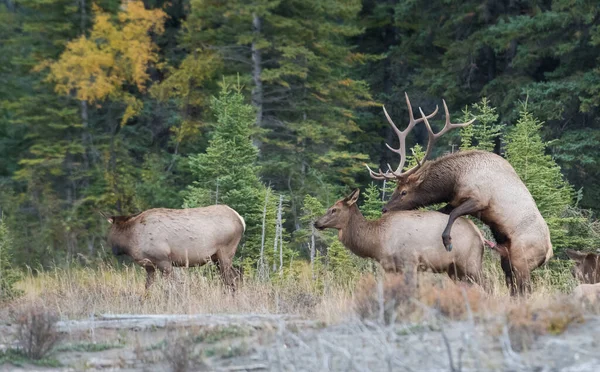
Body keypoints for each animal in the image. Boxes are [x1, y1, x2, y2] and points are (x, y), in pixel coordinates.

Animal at [103, 206, 246, 290]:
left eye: (111, 232)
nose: (113, 249)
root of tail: (241, 219)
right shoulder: (149, 266)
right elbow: (148, 288)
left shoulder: (164, 261)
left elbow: (170, 288)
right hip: (216, 257)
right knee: (235, 276)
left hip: (225, 251)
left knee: (231, 278)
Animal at [312, 189, 486, 288]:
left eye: (334, 209)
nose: (316, 222)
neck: (378, 241)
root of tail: (479, 234)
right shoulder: (390, 267)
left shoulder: (410, 262)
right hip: (454, 269)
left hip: (470, 263)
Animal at [364, 93, 552, 296]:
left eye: (404, 191)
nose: (385, 209)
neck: (454, 181)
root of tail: (549, 252)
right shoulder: (454, 200)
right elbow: (442, 212)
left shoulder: (479, 199)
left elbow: (454, 214)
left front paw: (447, 240)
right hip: (507, 259)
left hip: (522, 259)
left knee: (525, 289)